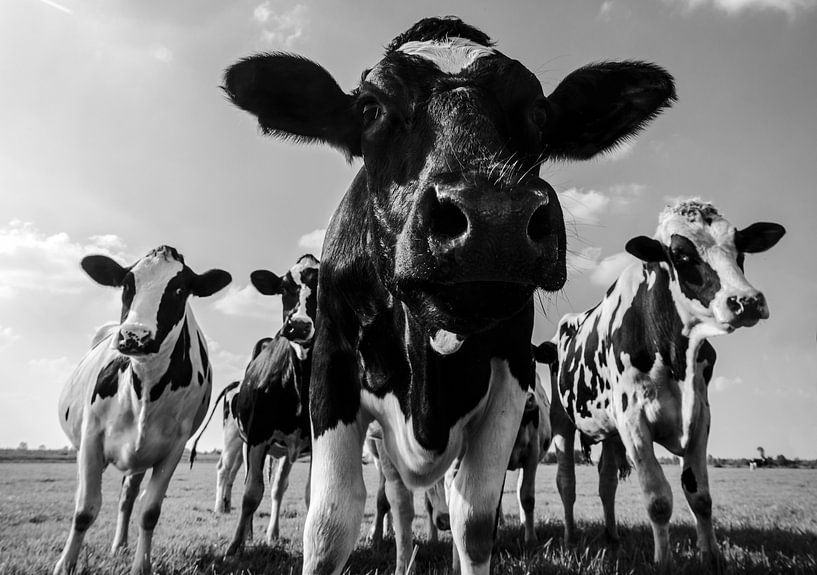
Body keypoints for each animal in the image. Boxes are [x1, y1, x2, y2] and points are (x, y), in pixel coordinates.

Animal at [54, 246, 231, 575]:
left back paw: (120, 545)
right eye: (127, 284)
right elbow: (84, 509)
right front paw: (65, 564)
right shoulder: (91, 437)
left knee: (128, 497)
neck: (147, 385)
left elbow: (149, 511)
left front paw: (141, 565)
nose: (134, 336)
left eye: (179, 289)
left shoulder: (174, 448)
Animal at [188, 380, 243, 513]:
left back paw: (227, 505)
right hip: (232, 436)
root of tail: (235, 383)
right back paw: (219, 507)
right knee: (223, 469)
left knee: (230, 471)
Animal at [225, 254, 320, 555]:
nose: (298, 325)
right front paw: (235, 546)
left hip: (288, 450)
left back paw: (272, 534)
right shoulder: (257, 436)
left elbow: (310, 494)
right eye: (283, 287)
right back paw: (249, 533)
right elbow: (251, 493)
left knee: (279, 487)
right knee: (252, 483)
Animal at [550, 199, 785, 568]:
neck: (675, 353)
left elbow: (700, 496)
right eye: (681, 254)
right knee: (566, 482)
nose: (746, 301)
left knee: (606, 482)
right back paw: (570, 538)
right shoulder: (633, 419)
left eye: (740, 251)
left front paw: (711, 558)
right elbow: (658, 500)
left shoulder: (700, 415)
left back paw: (612, 537)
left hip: (611, 432)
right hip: (560, 418)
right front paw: (663, 562)